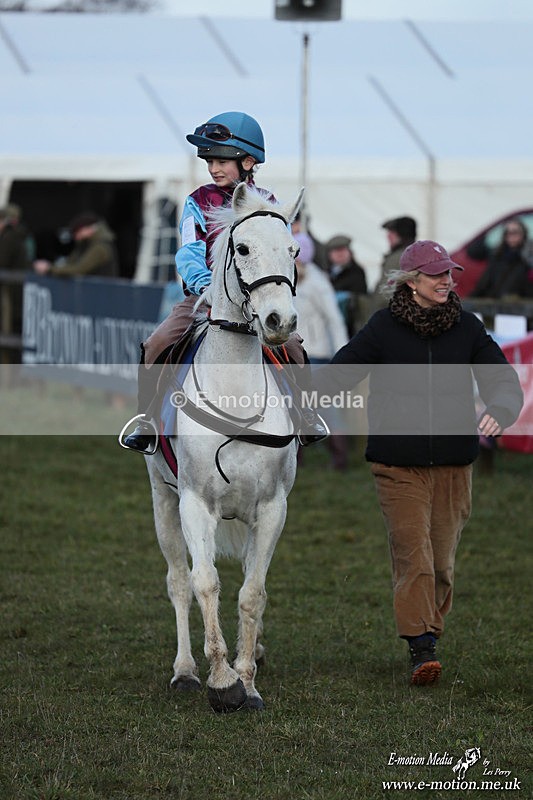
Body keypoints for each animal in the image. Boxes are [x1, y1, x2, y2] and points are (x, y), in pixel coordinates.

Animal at [144, 183, 304, 713]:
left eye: (294, 251)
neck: (235, 396)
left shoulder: (273, 509)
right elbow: (204, 582)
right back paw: (184, 671)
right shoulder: (194, 504)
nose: (279, 319)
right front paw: (220, 679)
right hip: (162, 498)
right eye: (244, 248)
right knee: (177, 581)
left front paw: (247, 680)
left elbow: (253, 593)